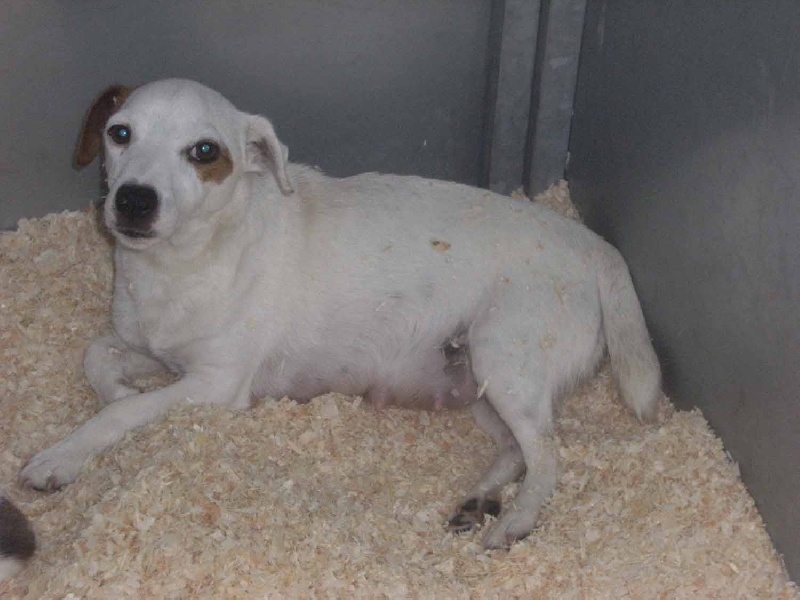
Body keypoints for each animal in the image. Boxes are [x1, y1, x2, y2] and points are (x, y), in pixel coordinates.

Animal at [20, 79, 661, 549]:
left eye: (204, 153)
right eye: (119, 133)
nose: (132, 199)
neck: (180, 263)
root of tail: (589, 242)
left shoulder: (216, 384)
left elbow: (117, 415)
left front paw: (60, 456)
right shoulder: (150, 349)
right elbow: (97, 358)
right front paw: (117, 390)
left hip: (506, 363)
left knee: (548, 457)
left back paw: (515, 522)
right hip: (475, 379)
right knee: (514, 450)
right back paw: (479, 498)